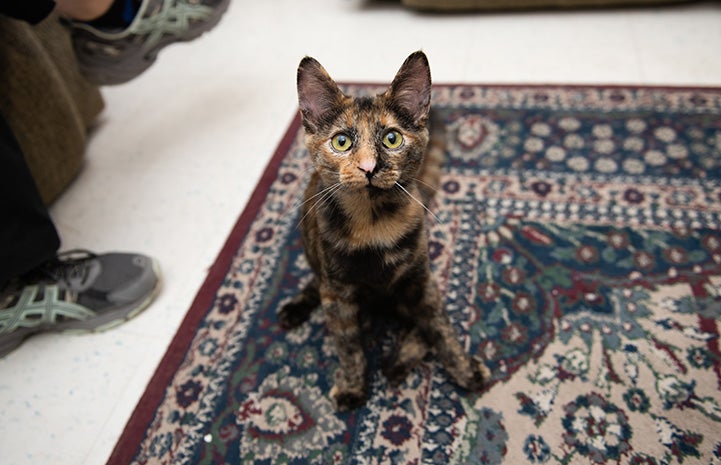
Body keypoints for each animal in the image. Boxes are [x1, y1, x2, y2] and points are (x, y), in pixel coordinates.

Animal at [278, 50, 486, 410]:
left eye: (392, 138)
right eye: (342, 142)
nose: (369, 167)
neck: (374, 223)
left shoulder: (420, 280)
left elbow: (440, 327)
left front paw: (462, 368)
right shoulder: (338, 294)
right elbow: (348, 345)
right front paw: (352, 387)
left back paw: (398, 361)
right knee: (317, 283)